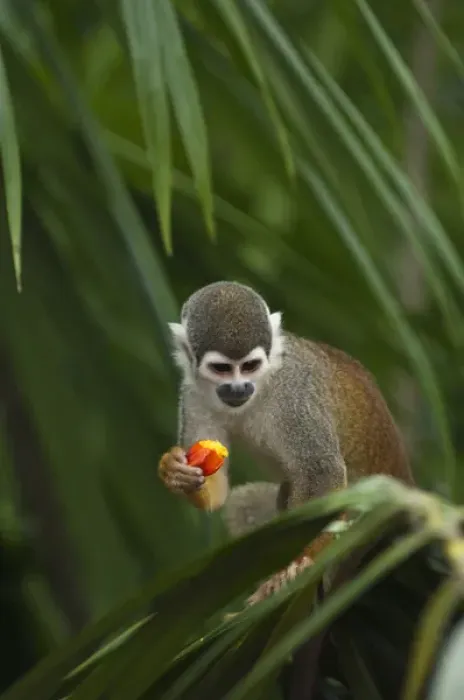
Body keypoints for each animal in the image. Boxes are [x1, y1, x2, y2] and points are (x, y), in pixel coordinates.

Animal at [158, 281, 414, 604]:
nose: (239, 388)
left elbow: (323, 472)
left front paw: (294, 563)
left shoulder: (294, 394)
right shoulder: (192, 395)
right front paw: (174, 471)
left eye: (250, 365)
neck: (262, 385)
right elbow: (217, 490)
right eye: (222, 369)